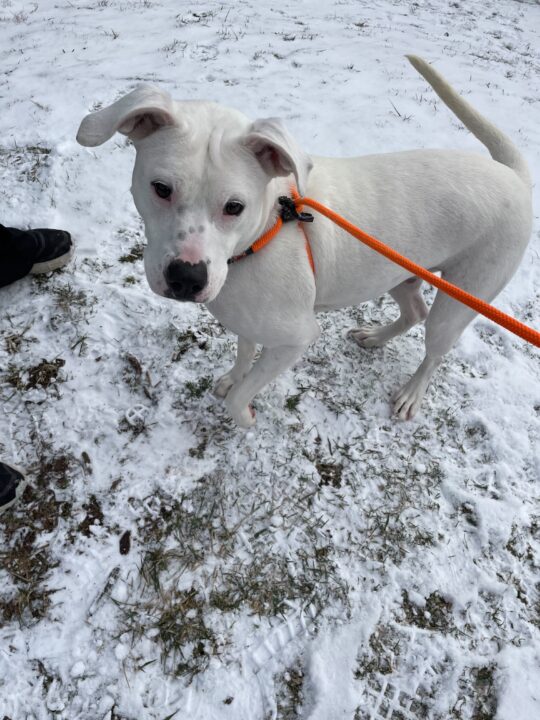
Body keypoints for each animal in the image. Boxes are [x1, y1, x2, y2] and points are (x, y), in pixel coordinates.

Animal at [76, 59, 532, 428]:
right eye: (161, 188)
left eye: (235, 206)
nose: (187, 278)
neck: (264, 233)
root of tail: (513, 175)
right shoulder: (248, 319)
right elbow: (243, 353)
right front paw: (233, 377)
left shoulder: (295, 338)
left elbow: (243, 396)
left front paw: (245, 414)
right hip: (398, 272)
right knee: (414, 311)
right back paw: (375, 338)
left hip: (463, 297)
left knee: (435, 347)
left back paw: (411, 394)